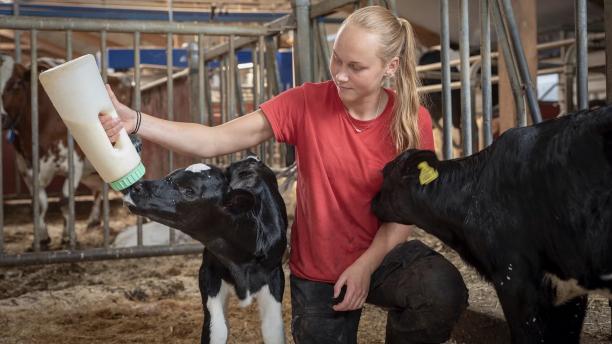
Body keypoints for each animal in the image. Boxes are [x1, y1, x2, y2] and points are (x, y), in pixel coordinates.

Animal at [124, 157, 290, 344]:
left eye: (189, 190)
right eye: (169, 175)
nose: (136, 187)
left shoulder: (275, 274)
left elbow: (273, 329)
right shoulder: (208, 273)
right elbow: (217, 328)